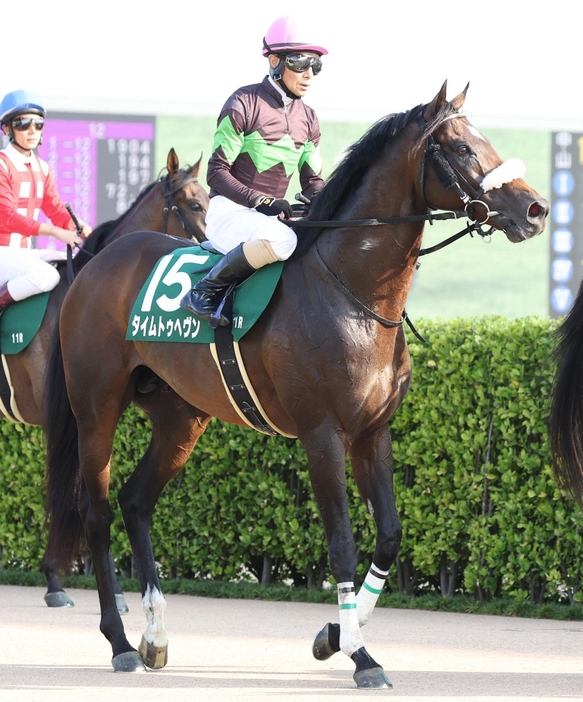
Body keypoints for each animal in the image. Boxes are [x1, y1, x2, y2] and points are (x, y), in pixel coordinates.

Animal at [44, 85, 548, 692]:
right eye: (462, 148)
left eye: (485, 139)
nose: (536, 209)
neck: (353, 293)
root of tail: (97, 263)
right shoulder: (322, 435)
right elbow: (343, 545)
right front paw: (361, 655)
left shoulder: (373, 433)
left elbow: (389, 535)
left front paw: (332, 636)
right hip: (96, 407)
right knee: (95, 512)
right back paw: (119, 641)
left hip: (181, 418)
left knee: (136, 500)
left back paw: (156, 635)